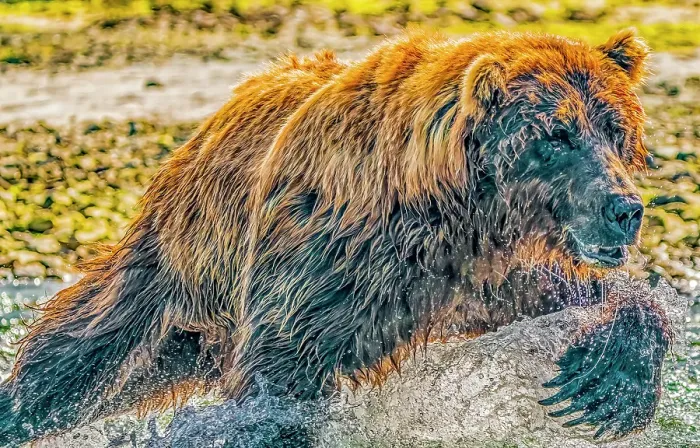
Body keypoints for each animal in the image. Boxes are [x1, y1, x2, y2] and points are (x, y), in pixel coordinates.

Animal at [0, 28, 672, 445]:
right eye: (557, 135)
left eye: (616, 130)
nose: (624, 209)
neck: (459, 216)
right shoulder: (332, 267)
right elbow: (282, 382)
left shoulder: (490, 276)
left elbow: (589, 294)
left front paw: (603, 384)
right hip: (177, 268)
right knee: (79, 355)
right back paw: (22, 408)